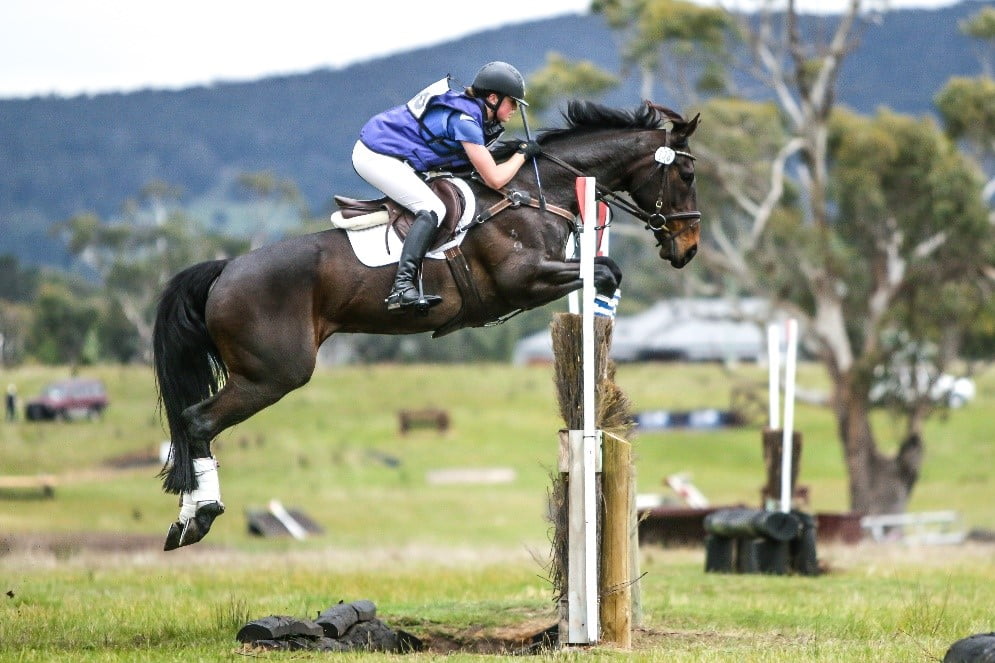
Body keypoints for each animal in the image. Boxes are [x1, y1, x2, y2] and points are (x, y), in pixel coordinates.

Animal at [156, 100, 700, 548]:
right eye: (687, 175)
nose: (688, 248)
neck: (533, 192)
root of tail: (226, 268)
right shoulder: (525, 280)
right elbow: (605, 269)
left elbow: (606, 270)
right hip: (273, 374)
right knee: (197, 420)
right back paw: (198, 517)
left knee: (193, 422)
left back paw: (183, 522)